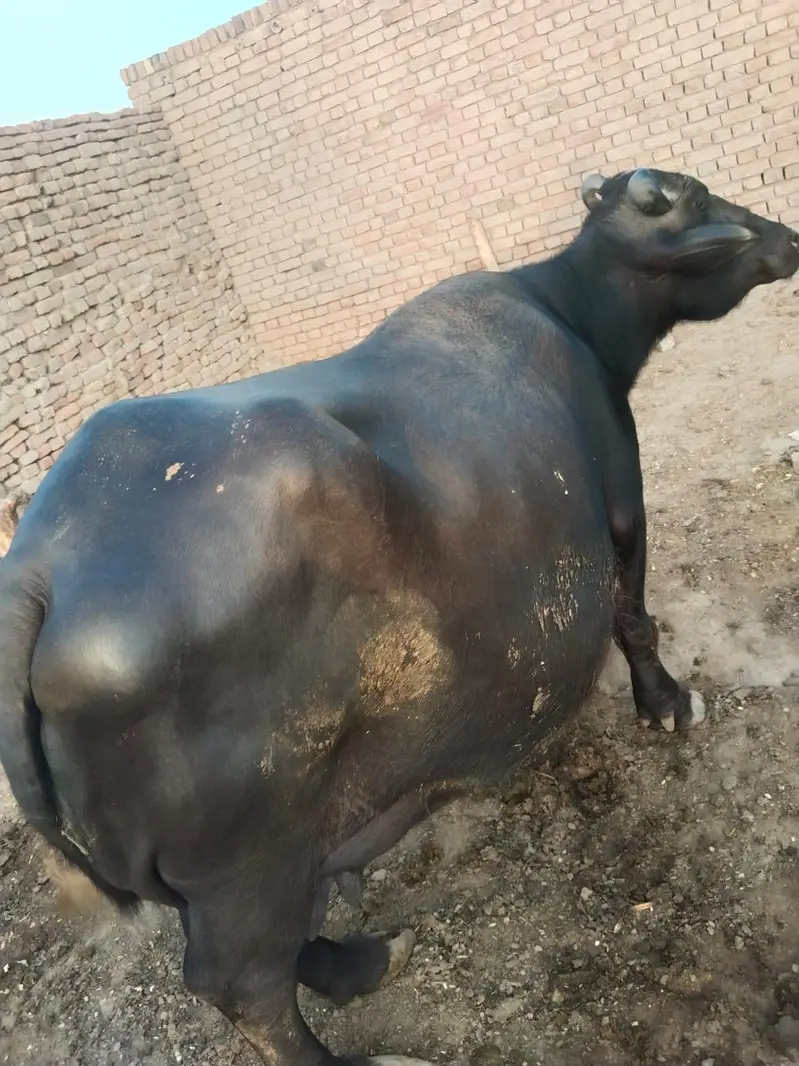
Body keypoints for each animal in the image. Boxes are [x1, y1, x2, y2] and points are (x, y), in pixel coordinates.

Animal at [0, 168, 797, 1065]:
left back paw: (363, 960)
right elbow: (633, 619)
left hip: (217, 869)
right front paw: (666, 705)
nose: (787, 238)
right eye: (697, 200)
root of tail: (37, 572)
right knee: (240, 984)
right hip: (244, 863)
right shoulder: (623, 508)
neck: (568, 311)